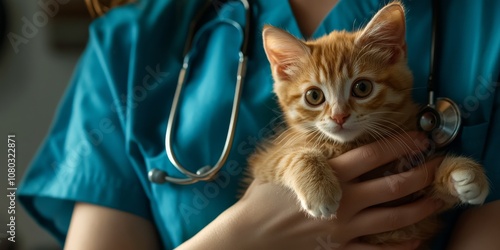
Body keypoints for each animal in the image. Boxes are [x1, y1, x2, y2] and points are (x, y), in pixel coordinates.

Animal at [250, 0, 488, 245]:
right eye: (314, 96)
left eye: (362, 87)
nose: (339, 116)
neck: (352, 143)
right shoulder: (265, 161)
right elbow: (290, 156)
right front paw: (319, 188)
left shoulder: (421, 215)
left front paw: (462, 172)